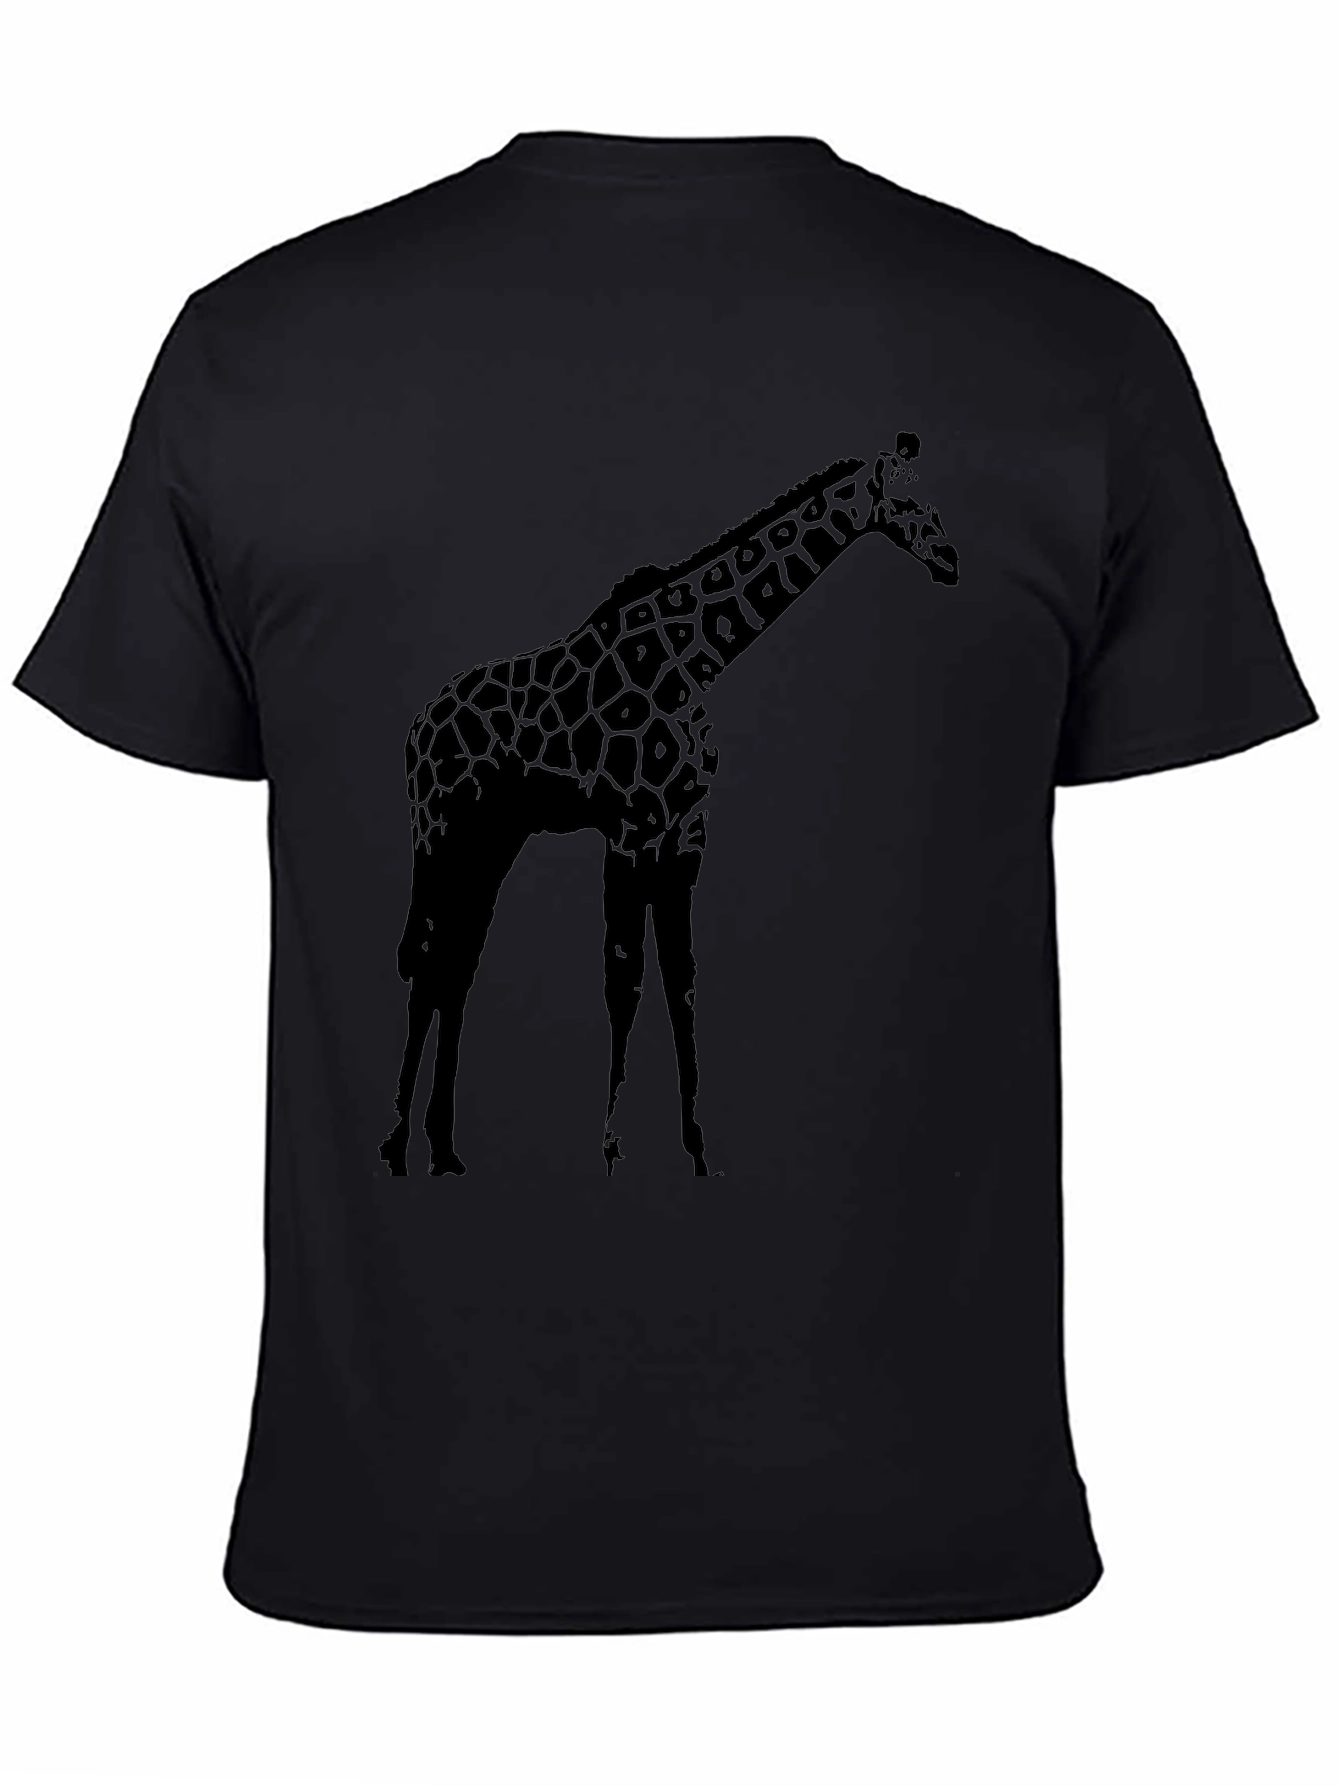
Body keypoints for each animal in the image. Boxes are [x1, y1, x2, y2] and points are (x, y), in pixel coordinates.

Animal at [379, 434, 960, 1179]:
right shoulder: (631, 825)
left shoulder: (686, 828)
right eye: (910, 501)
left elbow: (681, 979)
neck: (696, 658)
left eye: (933, 495)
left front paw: (698, 1145)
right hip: (440, 831)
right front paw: (614, 1147)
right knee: (427, 961)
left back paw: (445, 1148)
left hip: (492, 841)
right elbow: (623, 979)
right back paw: (397, 1144)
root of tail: (417, 725)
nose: (952, 560)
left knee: (457, 964)